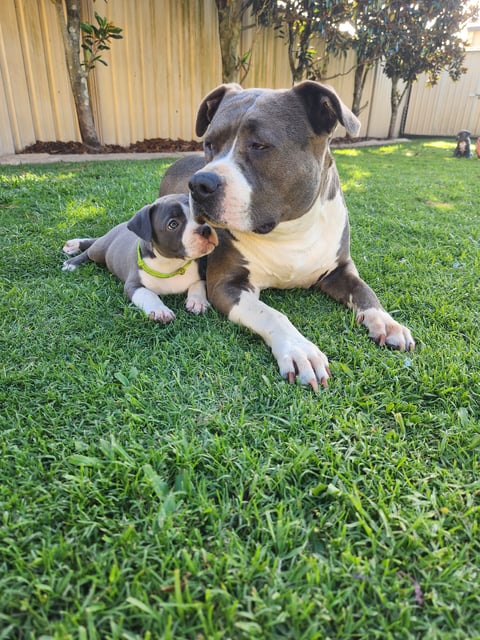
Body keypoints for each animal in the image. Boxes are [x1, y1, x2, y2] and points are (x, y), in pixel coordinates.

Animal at [61, 190, 218, 320]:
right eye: (173, 224)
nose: (205, 229)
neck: (171, 263)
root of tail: (120, 226)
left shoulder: (202, 275)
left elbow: (198, 284)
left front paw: (197, 301)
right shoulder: (133, 284)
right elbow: (148, 294)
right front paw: (160, 310)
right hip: (100, 251)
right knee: (90, 251)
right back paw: (72, 260)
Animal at [159, 82, 414, 388]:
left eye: (260, 145)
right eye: (209, 143)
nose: (199, 184)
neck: (288, 232)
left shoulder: (340, 269)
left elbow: (365, 291)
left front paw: (386, 322)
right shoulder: (226, 285)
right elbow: (271, 314)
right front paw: (300, 350)